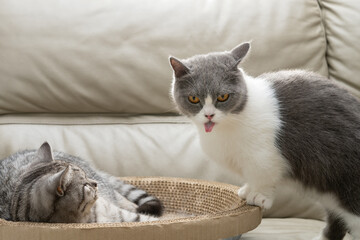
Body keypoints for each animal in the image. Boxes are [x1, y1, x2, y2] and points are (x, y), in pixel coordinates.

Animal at [169, 43, 360, 240]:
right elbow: (251, 177)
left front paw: (259, 196)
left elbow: (263, 175)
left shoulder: (264, 156)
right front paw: (247, 190)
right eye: (193, 98)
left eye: (223, 97)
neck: (229, 124)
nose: (209, 115)